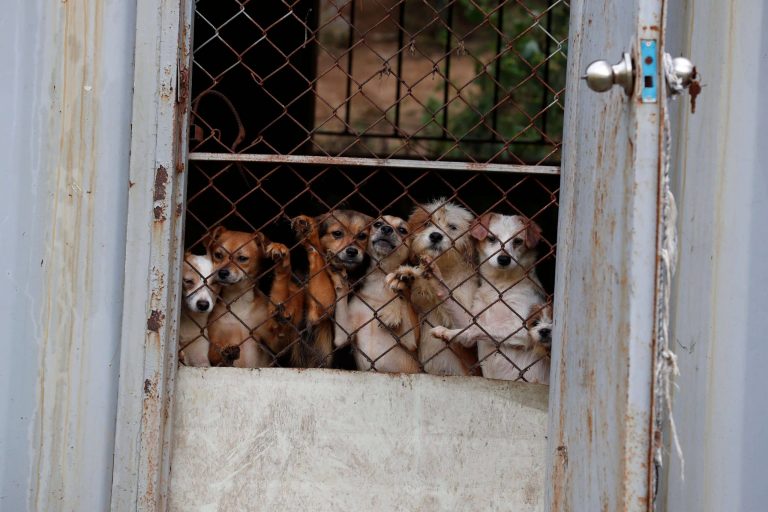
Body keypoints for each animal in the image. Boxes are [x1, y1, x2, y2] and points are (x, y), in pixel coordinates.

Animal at [207, 228, 304, 368]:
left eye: (242, 258)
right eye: (218, 255)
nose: (222, 272)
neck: (238, 299)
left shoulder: (275, 345)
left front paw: (282, 264)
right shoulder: (213, 342)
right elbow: (215, 354)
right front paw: (226, 354)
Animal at [332, 214, 420, 374]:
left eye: (402, 230)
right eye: (378, 224)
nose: (386, 229)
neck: (378, 283)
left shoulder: (411, 340)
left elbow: (401, 298)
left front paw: (400, 284)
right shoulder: (343, 335)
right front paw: (340, 277)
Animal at [390, 200, 480, 376]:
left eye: (452, 227)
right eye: (426, 223)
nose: (436, 236)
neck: (445, 268)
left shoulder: (470, 329)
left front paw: (438, 281)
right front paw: (407, 276)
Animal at [428, 210, 548, 382]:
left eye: (518, 241)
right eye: (491, 238)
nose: (504, 259)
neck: (499, 286)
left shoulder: (524, 331)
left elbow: (480, 329)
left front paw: (449, 332)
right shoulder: (472, 318)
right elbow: (458, 310)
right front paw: (436, 278)